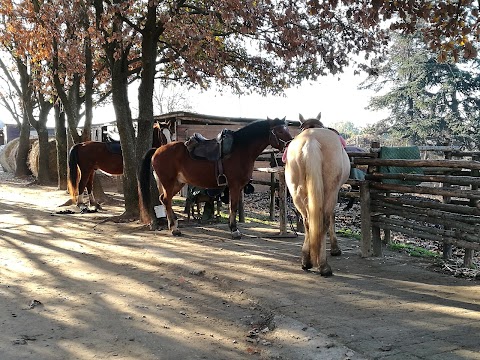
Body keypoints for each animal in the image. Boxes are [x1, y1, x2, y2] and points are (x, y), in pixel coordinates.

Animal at [137, 118, 290, 240]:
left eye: (286, 128)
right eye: (279, 131)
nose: (290, 144)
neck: (240, 149)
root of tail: (157, 150)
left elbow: (232, 207)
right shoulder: (234, 185)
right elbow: (233, 207)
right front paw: (234, 230)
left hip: (177, 183)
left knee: (164, 199)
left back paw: (174, 225)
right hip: (168, 182)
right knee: (166, 200)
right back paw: (175, 229)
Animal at [284, 116, 348, 278]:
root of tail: (310, 140)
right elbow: (332, 217)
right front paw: (335, 249)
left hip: (296, 192)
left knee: (308, 221)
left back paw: (306, 261)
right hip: (331, 191)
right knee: (324, 221)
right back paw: (324, 266)